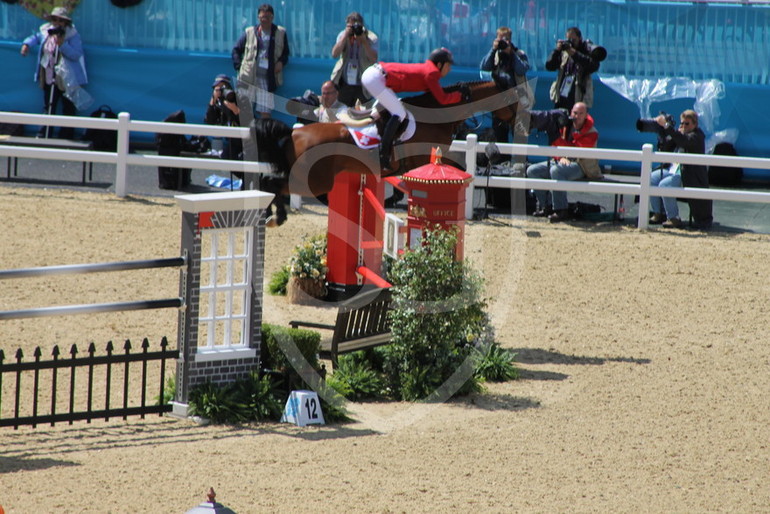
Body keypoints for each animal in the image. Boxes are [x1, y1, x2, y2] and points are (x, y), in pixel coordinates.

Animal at [258, 78, 520, 224]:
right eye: (513, 100)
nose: (518, 126)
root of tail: (294, 134)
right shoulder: (427, 158)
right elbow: (458, 168)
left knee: (269, 183)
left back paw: (270, 215)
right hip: (312, 180)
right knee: (273, 184)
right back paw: (276, 216)